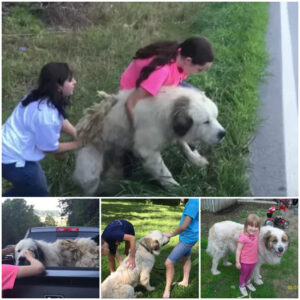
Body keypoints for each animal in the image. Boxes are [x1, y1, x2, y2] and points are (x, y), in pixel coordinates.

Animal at [74, 86, 225, 195]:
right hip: (89, 174)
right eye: (206, 122)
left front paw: (196, 160)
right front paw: (177, 189)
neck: (168, 109)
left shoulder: (174, 132)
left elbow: (184, 146)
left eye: (215, 117)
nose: (223, 133)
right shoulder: (148, 152)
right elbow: (164, 173)